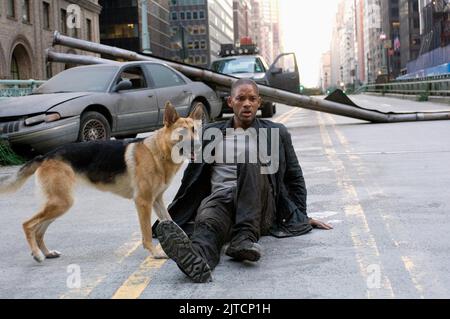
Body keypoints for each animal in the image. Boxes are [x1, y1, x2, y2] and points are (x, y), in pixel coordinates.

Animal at [0, 102, 202, 262]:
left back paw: (47, 253)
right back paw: (37, 254)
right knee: (28, 225)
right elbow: (145, 233)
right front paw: (155, 252)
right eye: (182, 132)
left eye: (194, 130)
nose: (198, 145)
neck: (158, 152)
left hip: (59, 205)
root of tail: (46, 156)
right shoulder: (143, 203)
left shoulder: (157, 201)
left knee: (39, 230)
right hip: (60, 203)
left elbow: (173, 223)